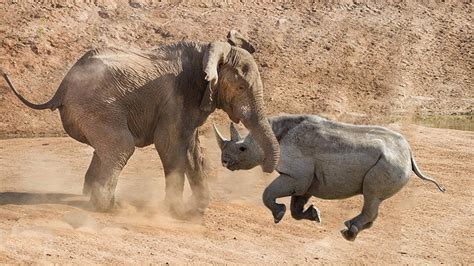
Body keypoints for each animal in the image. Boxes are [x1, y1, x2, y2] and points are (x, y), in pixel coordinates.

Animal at [0, 30, 282, 217]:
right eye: (241, 87)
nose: (266, 170)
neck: (207, 51)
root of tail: (61, 87)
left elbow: (191, 147)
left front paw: (198, 208)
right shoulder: (176, 97)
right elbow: (169, 145)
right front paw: (176, 210)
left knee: (106, 149)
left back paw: (92, 198)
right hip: (96, 107)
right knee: (121, 146)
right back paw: (111, 208)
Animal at [215, 114, 444, 241]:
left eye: (243, 149)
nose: (224, 161)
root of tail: (409, 153)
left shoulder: (296, 175)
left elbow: (267, 193)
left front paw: (278, 215)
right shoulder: (305, 181)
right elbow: (296, 208)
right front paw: (314, 215)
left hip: (389, 161)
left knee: (371, 195)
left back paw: (349, 232)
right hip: (392, 160)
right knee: (375, 199)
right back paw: (355, 229)